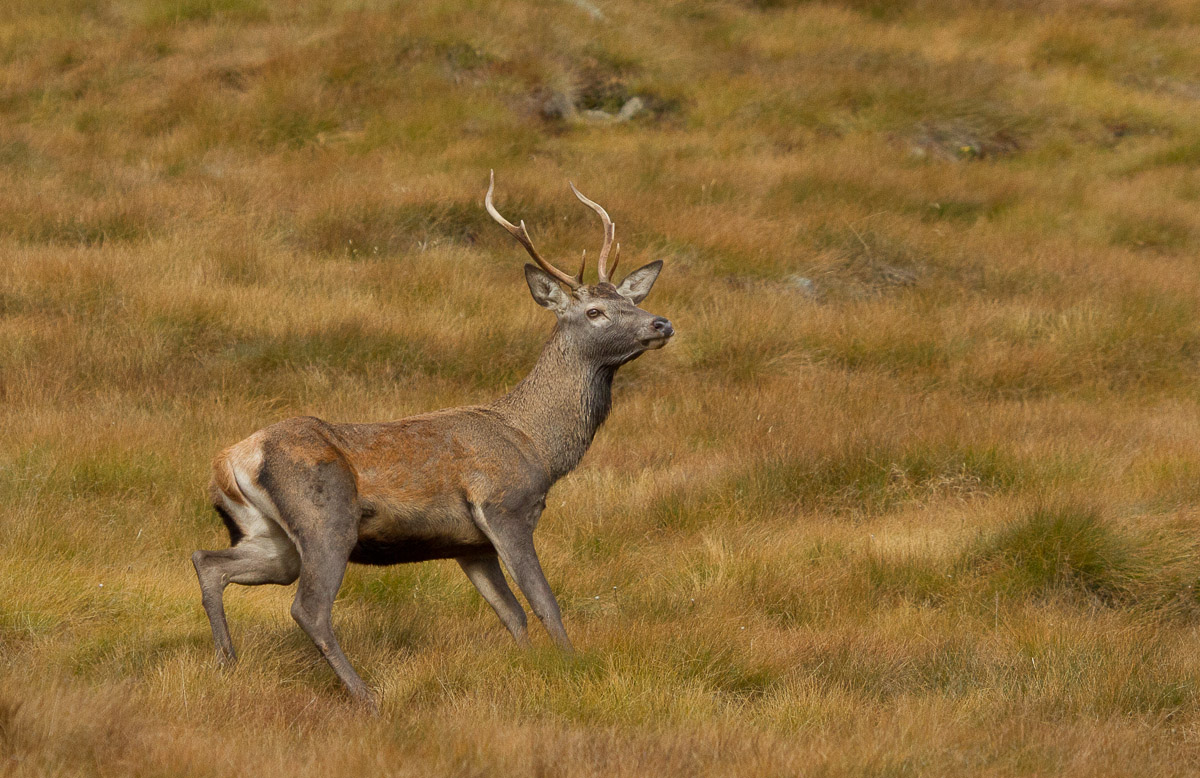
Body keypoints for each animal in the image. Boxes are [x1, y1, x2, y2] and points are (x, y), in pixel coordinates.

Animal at [191, 171, 674, 709]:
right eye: (593, 311)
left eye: (631, 301)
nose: (661, 323)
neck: (538, 446)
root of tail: (231, 459)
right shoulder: (505, 508)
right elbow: (545, 604)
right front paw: (573, 671)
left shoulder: (469, 544)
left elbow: (511, 614)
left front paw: (531, 667)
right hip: (325, 519)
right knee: (308, 608)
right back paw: (366, 696)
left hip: (268, 537)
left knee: (209, 562)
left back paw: (228, 664)